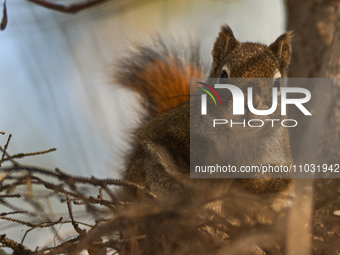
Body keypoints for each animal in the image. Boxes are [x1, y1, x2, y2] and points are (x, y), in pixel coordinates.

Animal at [113, 23, 294, 199]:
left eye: (277, 84)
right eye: (223, 75)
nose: (250, 103)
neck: (239, 136)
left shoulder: (280, 156)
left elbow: (277, 179)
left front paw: (250, 179)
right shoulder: (171, 128)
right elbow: (194, 153)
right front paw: (220, 170)